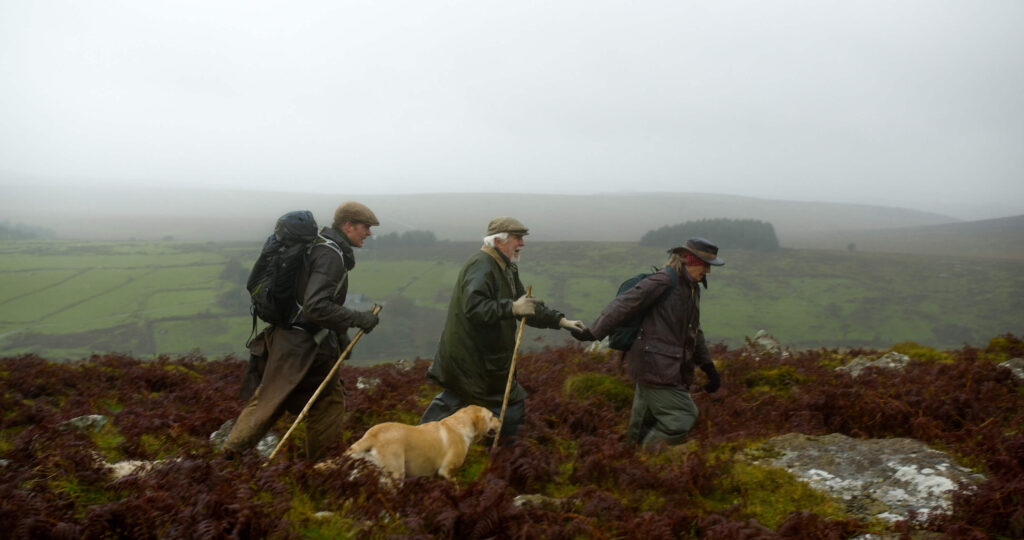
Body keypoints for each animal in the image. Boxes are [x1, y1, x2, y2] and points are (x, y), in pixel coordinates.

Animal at [346, 405, 501, 481]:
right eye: (491, 416)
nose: (500, 420)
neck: (459, 426)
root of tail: (372, 436)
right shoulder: (446, 471)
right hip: (396, 475)